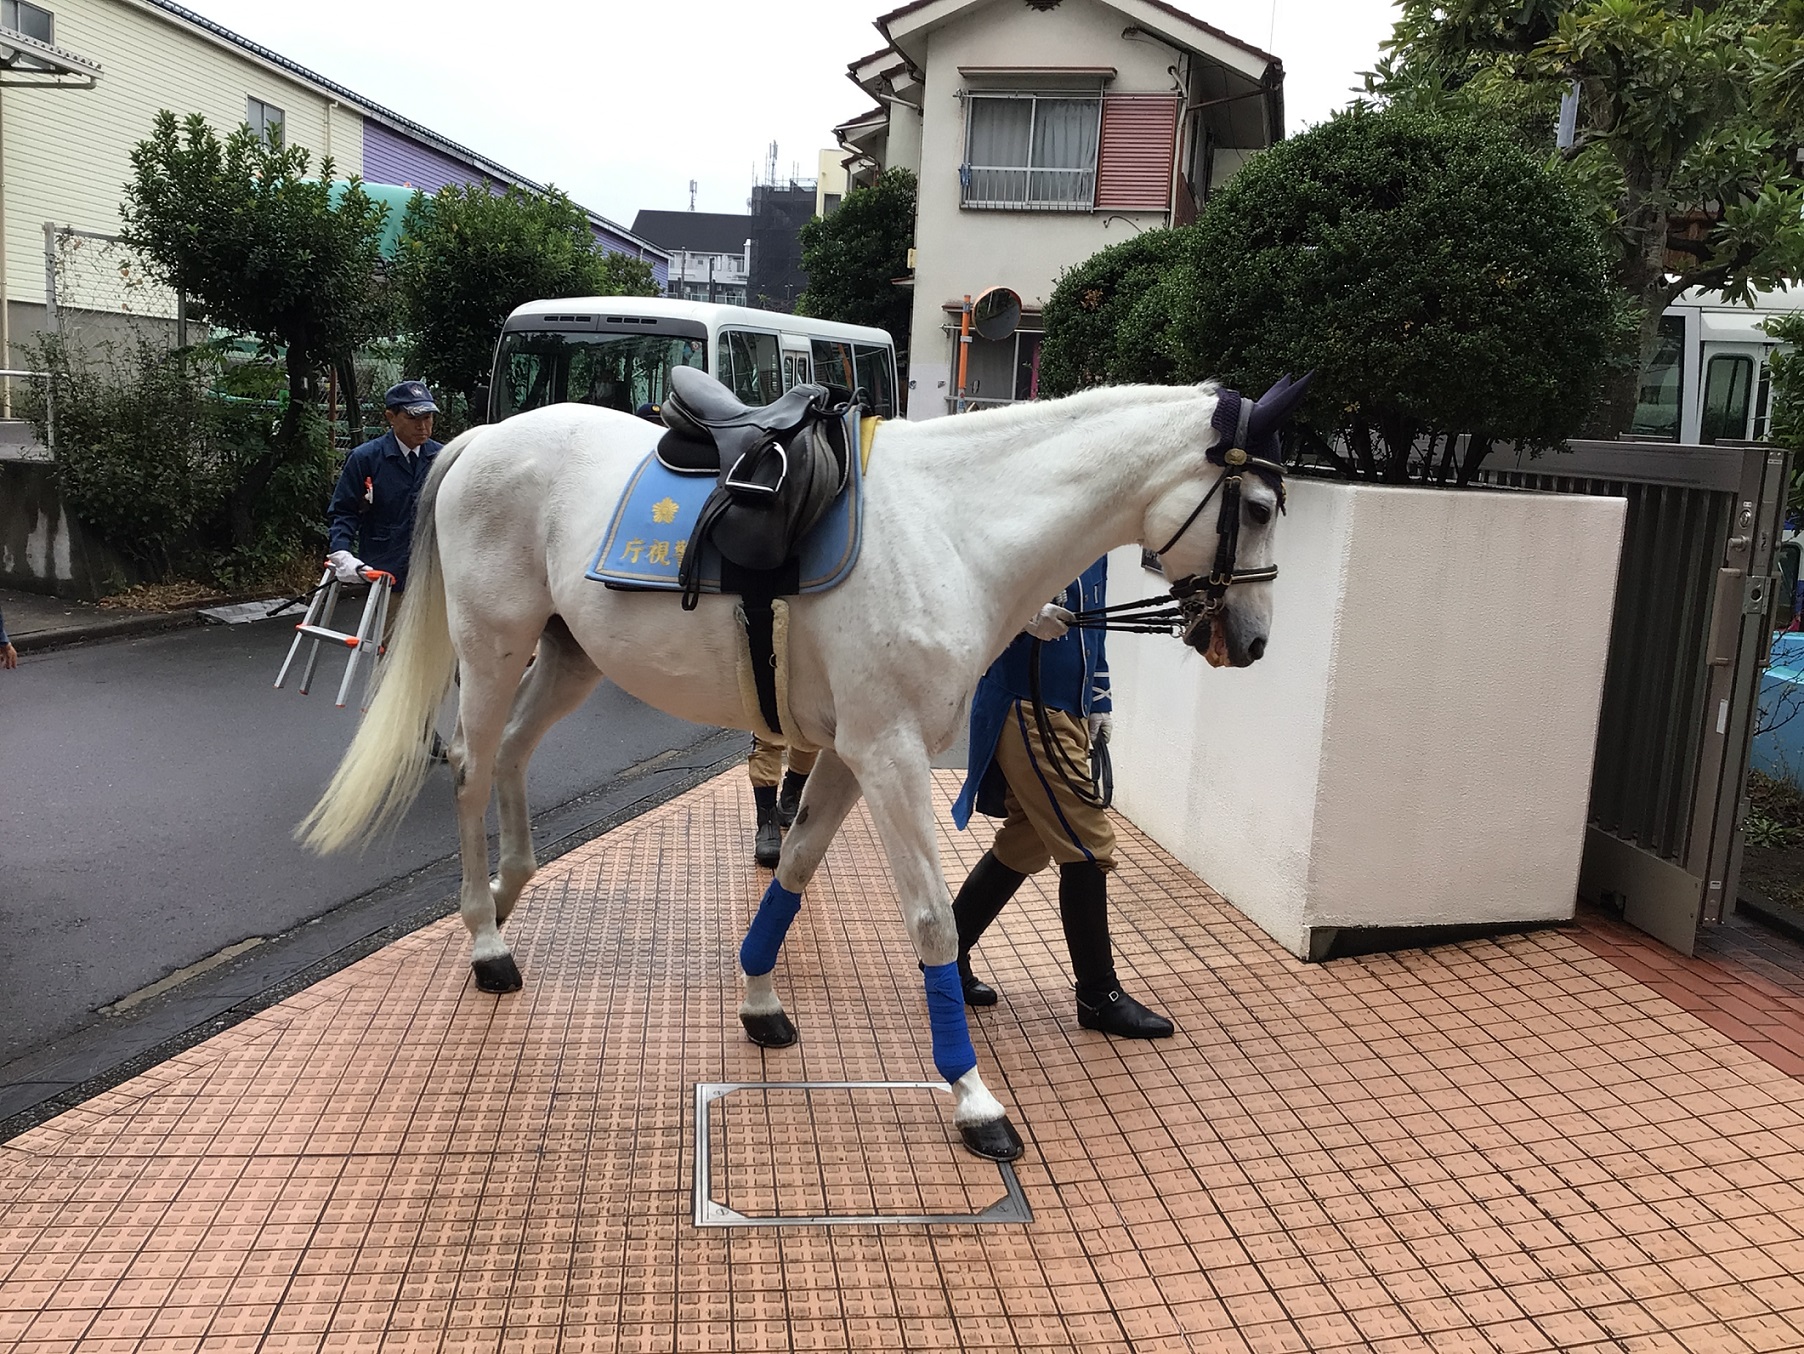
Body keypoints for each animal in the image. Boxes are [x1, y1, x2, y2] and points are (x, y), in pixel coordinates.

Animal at [299, 382, 1284, 1168]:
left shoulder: (851, 753)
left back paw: (507, 895)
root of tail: (484, 437)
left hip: (569, 657)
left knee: (510, 755)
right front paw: (972, 1098)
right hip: (493, 648)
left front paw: (758, 997)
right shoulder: (890, 754)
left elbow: (799, 870)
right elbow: (932, 924)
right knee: (470, 769)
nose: (1253, 642)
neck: (954, 528)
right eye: (1264, 506)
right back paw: (485, 938)